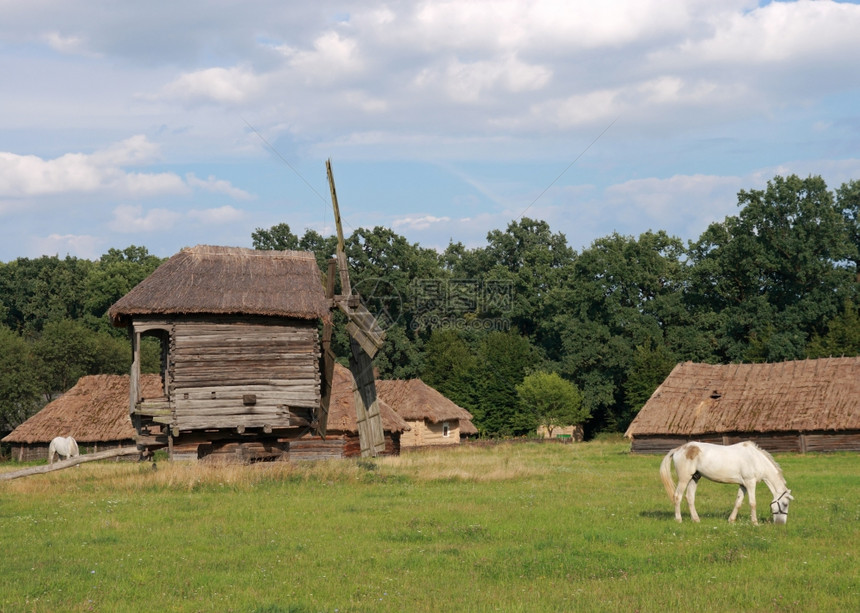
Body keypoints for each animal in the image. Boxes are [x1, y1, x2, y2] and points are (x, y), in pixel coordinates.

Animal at [660, 442, 796, 524]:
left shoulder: (743, 485)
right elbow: (752, 503)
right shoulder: (750, 483)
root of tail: (679, 449)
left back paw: (696, 519)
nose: (781, 523)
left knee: (690, 498)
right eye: (785, 504)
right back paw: (679, 519)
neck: (756, 459)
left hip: (694, 478)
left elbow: (738, 502)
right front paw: (755, 523)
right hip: (684, 479)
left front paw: (731, 520)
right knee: (677, 497)